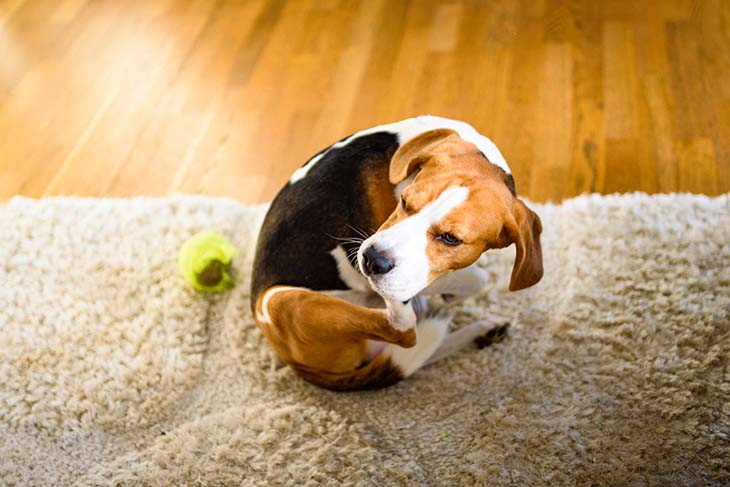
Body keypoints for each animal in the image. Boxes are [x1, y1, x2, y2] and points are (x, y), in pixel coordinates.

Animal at [250, 116, 540, 390]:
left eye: (451, 239)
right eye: (405, 202)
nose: (371, 261)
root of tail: (294, 362)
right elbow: (477, 278)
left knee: (415, 350)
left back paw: (480, 332)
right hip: (278, 300)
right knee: (405, 332)